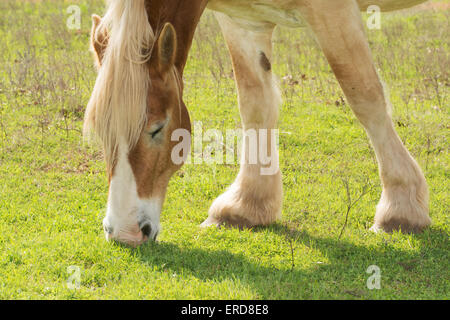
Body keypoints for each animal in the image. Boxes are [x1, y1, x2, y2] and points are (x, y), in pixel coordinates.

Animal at [85, 0, 432, 248]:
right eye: (101, 134)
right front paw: (246, 205)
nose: (125, 232)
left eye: (157, 128)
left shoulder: (333, 12)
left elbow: (363, 95)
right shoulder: (243, 21)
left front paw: (400, 209)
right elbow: (254, 103)